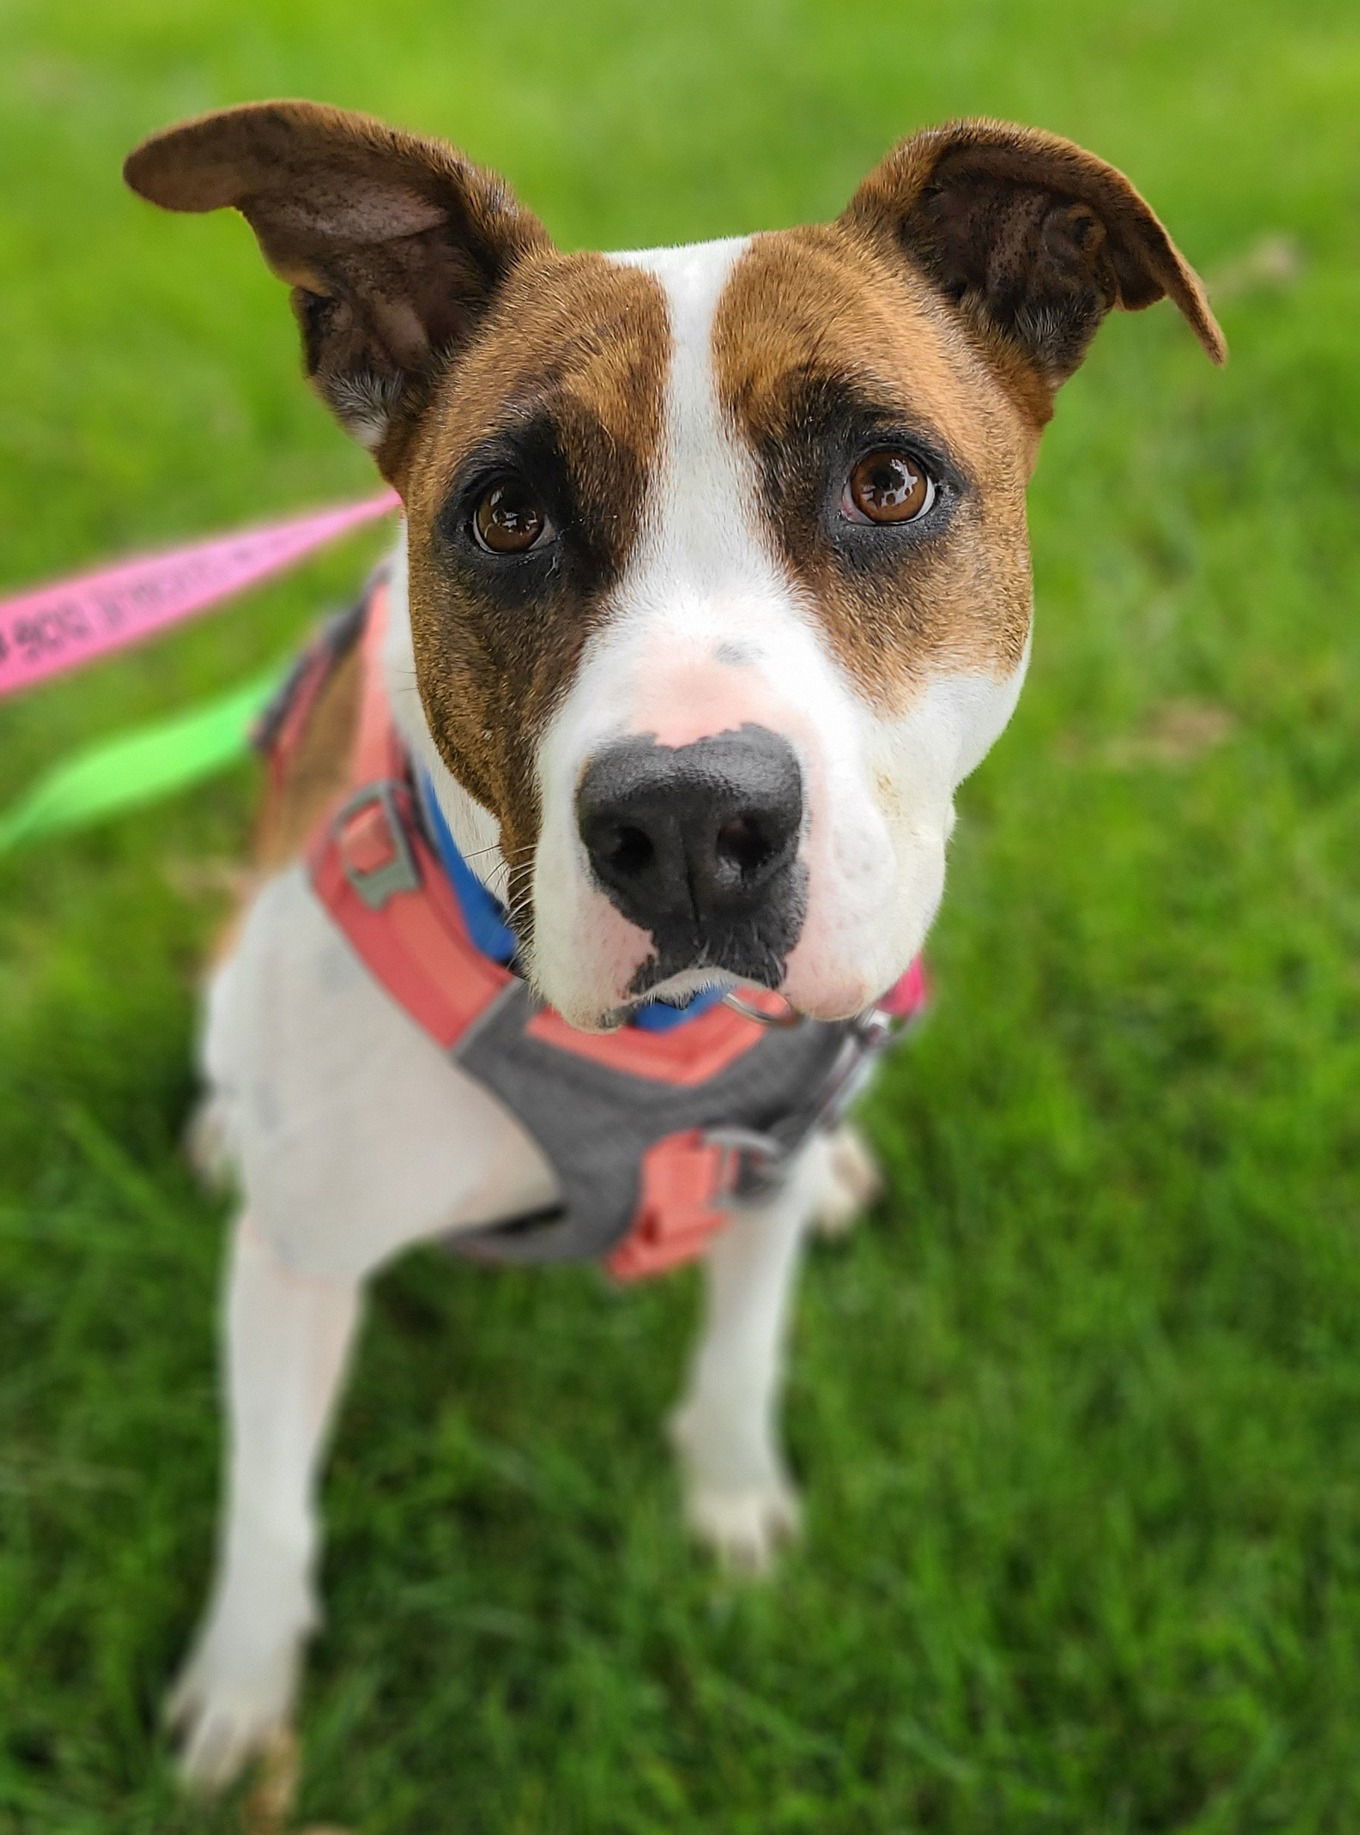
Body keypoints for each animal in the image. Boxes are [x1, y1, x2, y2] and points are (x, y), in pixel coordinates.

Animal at [119, 104, 1218, 1790]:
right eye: (507, 515)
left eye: (886, 482)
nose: (693, 819)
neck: (640, 1050)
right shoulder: (302, 1264)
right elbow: (267, 1503)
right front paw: (241, 1692)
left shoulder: (753, 1158)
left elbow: (741, 1358)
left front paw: (731, 1504)